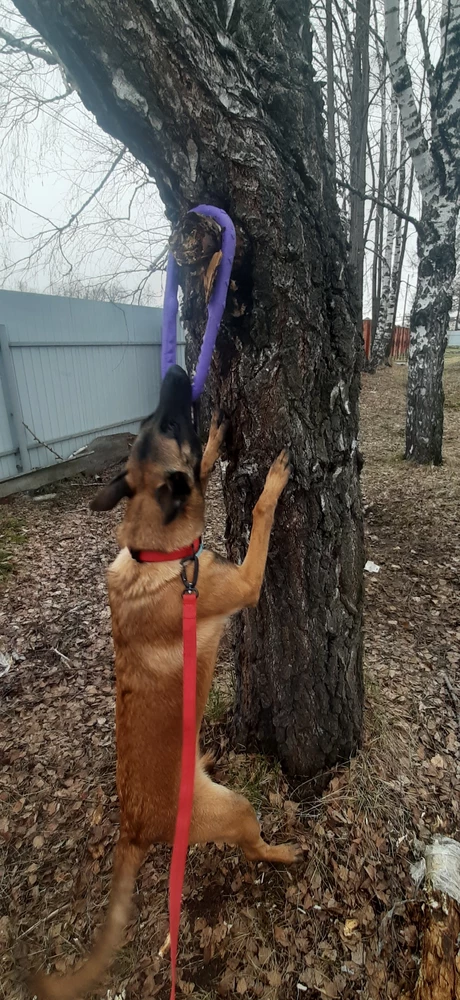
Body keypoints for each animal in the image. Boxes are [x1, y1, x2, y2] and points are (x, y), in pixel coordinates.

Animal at [31, 366, 298, 1000]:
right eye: (172, 422)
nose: (176, 371)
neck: (157, 553)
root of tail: (133, 828)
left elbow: (206, 469)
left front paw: (217, 441)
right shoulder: (245, 582)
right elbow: (260, 515)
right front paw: (272, 481)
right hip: (237, 810)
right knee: (256, 848)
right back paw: (286, 850)